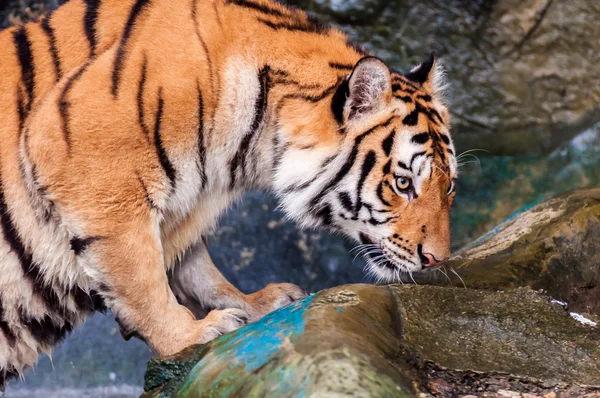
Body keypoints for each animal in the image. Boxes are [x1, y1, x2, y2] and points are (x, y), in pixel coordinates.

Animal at [0, 0, 458, 388]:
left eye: (449, 185)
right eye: (403, 183)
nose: (437, 260)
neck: (255, 140)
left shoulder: (185, 204)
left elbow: (194, 266)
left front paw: (253, 304)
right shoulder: (92, 167)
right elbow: (141, 279)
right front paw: (192, 335)